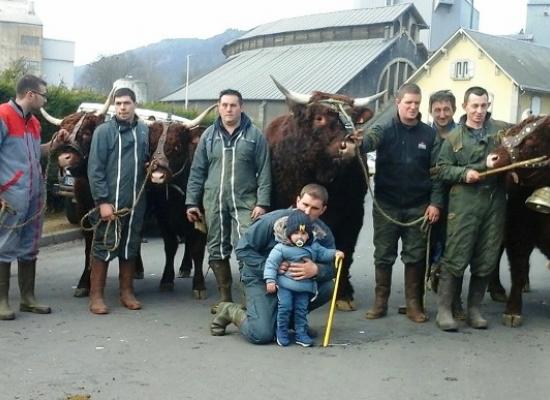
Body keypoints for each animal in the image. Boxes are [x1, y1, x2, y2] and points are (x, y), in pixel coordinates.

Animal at [266, 76, 386, 310]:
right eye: (319, 118)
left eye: (352, 119)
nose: (349, 145)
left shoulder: (354, 213)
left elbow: (345, 251)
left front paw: (343, 294)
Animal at [488, 114, 550, 326]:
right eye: (508, 135)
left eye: (532, 141)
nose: (492, 158)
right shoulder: (518, 231)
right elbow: (518, 267)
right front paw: (512, 312)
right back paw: (498, 289)